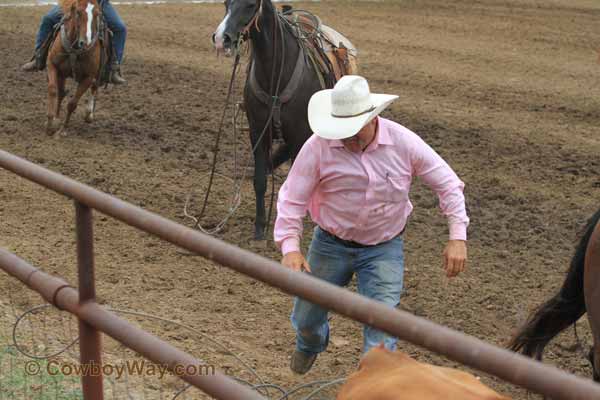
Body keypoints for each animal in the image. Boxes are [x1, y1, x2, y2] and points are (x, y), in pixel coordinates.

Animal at [47, 0, 109, 136]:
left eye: (97, 14)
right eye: (78, 12)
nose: (85, 43)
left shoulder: (88, 77)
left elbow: (72, 104)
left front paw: (63, 129)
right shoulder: (53, 65)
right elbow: (53, 90)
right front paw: (51, 123)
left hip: (98, 73)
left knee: (94, 88)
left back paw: (89, 114)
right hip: (63, 74)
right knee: (61, 93)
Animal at [214, 0, 340, 239]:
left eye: (250, 5)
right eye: (226, 3)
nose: (220, 38)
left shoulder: (299, 137)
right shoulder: (258, 132)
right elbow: (260, 180)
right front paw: (259, 227)